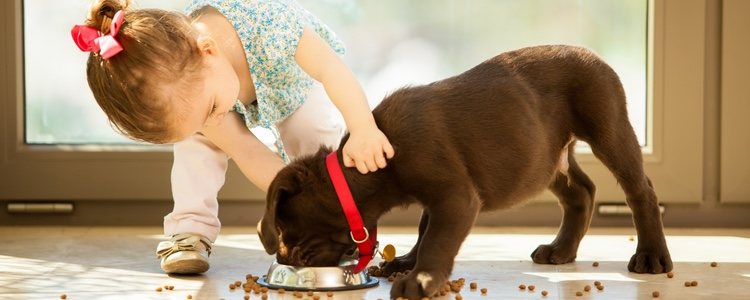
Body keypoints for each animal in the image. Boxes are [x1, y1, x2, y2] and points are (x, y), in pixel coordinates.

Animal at [258, 43, 676, 298]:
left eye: (287, 230)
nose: (286, 259)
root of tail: (594, 54)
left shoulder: (454, 195)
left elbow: (437, 239)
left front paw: (420, 279)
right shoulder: (440, 196)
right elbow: (425, 228)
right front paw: (407, 263)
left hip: (608, 126)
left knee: (640, 190)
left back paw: (651, 257)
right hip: (545, 158)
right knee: (582, 191)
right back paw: (561, 249)